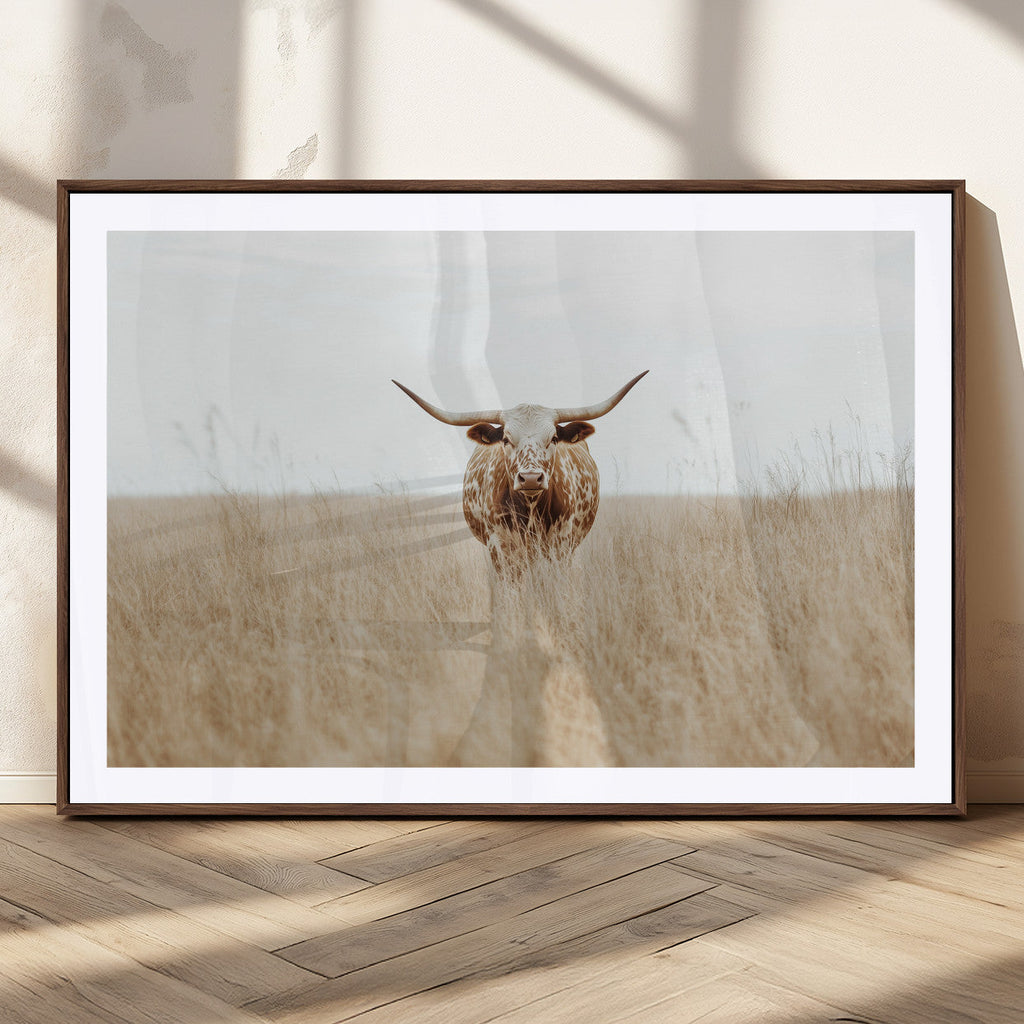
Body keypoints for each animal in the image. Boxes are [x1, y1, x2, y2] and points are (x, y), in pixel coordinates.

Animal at [392, 371, 648, 573]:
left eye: (554, 438)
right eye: (506, 439)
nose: (531, 478)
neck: (530, 510)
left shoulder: (561, 545)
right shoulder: (500, 548)